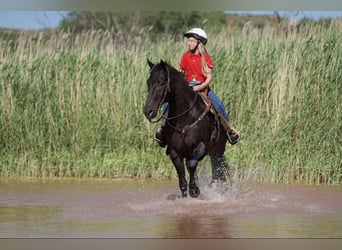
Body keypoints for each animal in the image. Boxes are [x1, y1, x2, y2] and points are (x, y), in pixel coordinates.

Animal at [143, 59, 228, 198]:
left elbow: (191, 165)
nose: (148, 111)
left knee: (218, 169)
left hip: (218, 150)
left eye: (162, 82)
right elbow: (182, 176)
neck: (185, 118)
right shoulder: (174, 152)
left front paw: (194, 190)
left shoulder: (201, 147)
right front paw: (186, 194)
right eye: (148, 82)